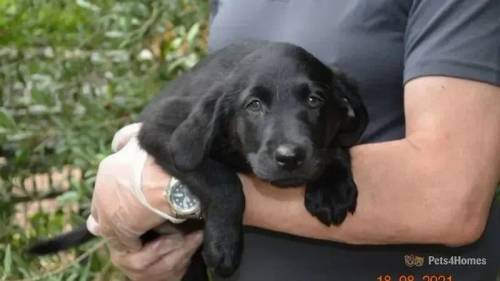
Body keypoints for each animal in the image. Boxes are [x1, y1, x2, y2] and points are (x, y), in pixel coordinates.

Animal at [29, 40, 370, 278]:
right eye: (254, 105)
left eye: (315, 100)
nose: (290, 157)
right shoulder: (165, 132)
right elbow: (224, 181)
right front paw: (223, 244)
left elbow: (336, 147)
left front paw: (332, 188)